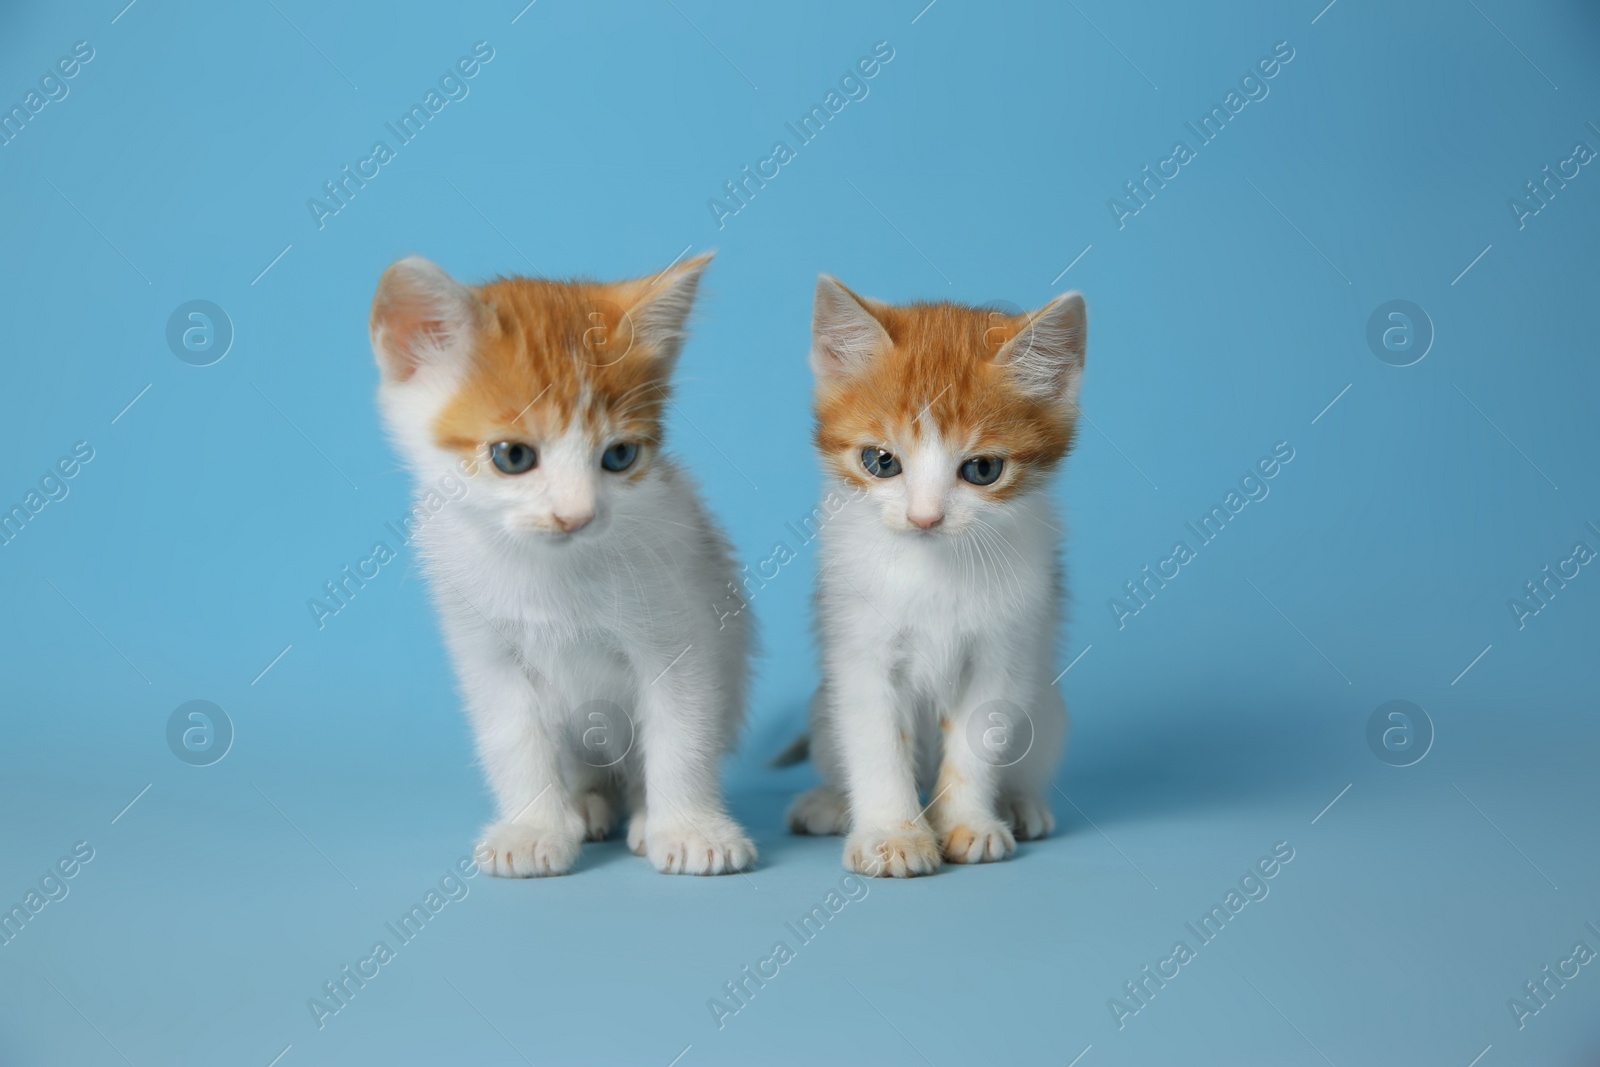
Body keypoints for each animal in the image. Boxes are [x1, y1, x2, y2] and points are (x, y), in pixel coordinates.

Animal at [371, 251, 758, 876]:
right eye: (513, 456)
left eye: (619, 456)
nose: (576, 515)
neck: (552, 571)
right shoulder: (486, 647)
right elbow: (513, 736)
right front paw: (533, 829)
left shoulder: (683, 622)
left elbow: (683, 732)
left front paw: (691, 828)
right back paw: (585, 804)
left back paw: (642, 812)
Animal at [780, 275, 1081, 876]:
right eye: (881, 461)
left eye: (983, 469)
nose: (925, 517)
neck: (932, 567)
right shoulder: (860, 650)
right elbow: (876, 741)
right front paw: (892, 834)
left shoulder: (1003, 653)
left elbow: (977, 741)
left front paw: (970, 823)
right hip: (820, 712)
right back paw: (828, 802)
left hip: (1047, 709)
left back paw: (1021, 803)